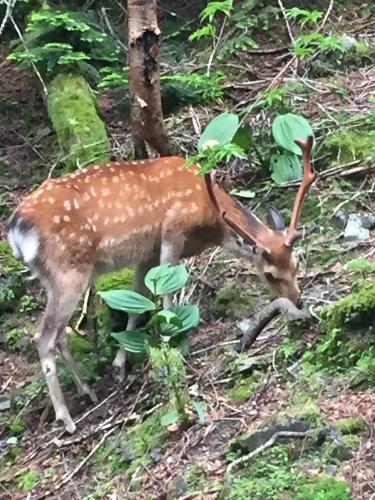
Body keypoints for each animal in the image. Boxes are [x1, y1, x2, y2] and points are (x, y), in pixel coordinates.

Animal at [6, 135, 318, 432]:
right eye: (269, 274)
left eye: (296, 263)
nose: (297, 300)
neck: (209, 216)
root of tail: (15, 231)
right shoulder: (172, 232)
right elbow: (167, 296)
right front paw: (171, 343)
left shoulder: (147, 253)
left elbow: (136, 305)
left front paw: (120, 364)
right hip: (68, 270)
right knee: (44, 337)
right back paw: (66, 419)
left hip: (54, 276)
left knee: (60, 334)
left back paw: (87, 392)